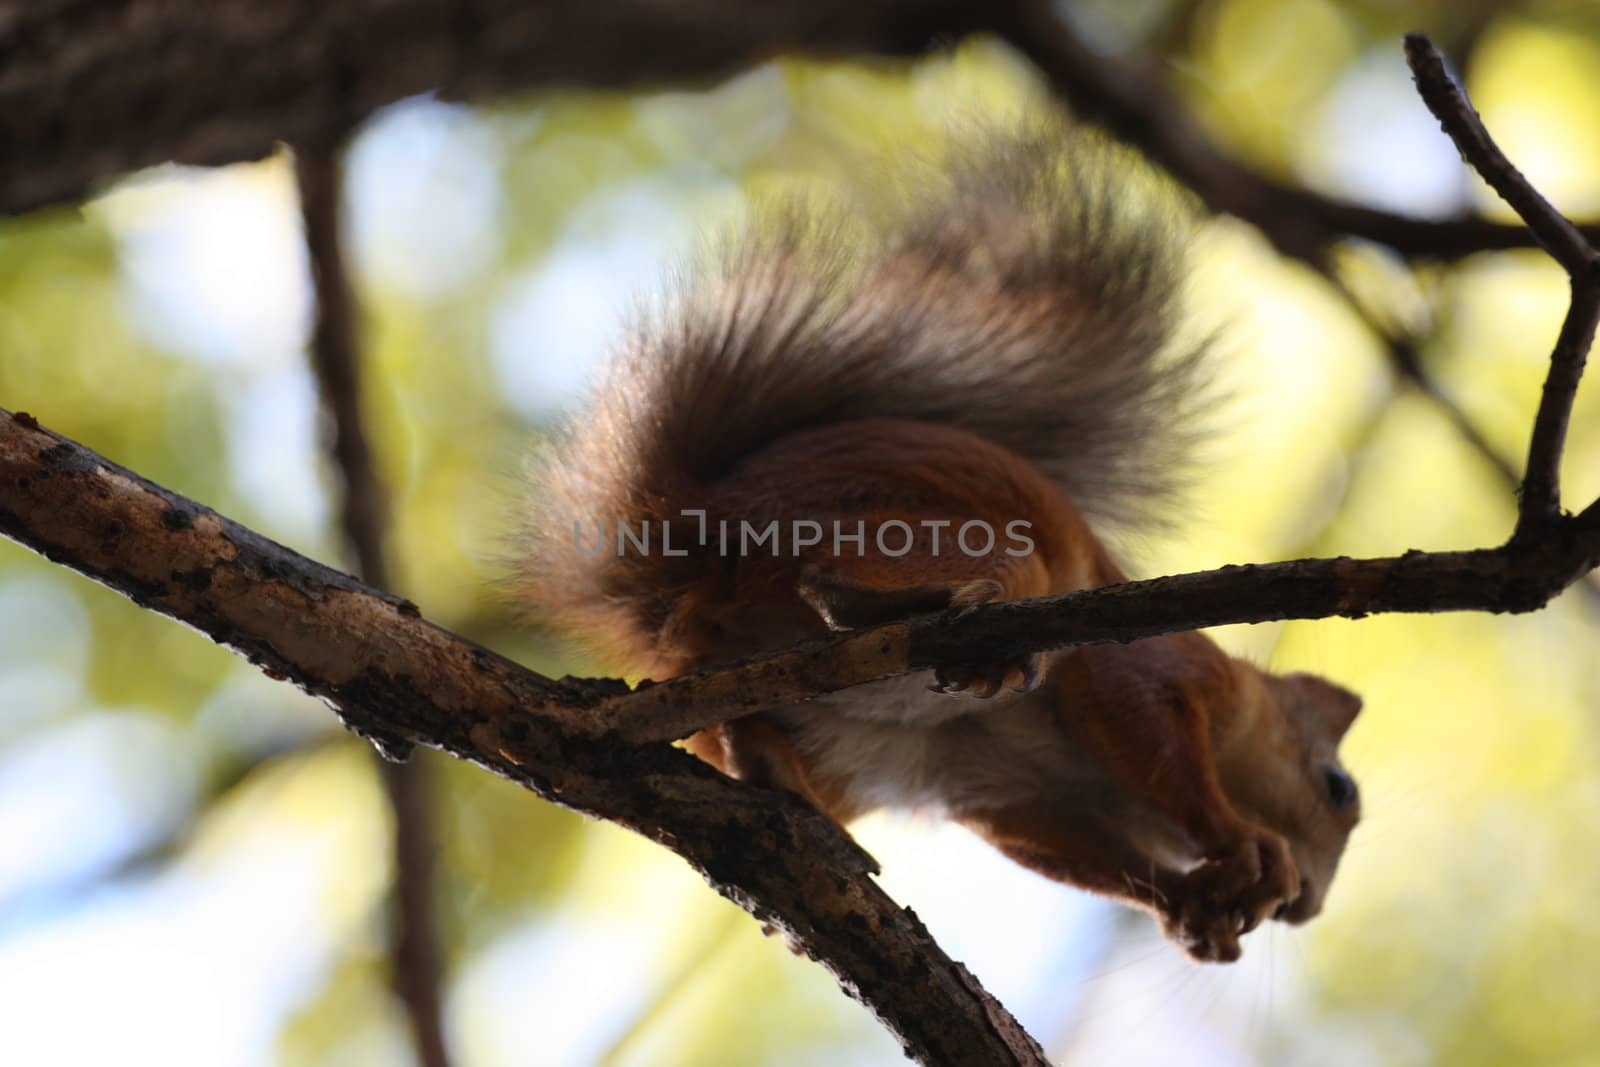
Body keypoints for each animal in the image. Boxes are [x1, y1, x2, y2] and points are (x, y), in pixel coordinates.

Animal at [515, 120, 1363, 966]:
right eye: (1338, 788)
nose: (1311, 907)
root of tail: (697, 538)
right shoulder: (1154, 670)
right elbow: (1149, 728)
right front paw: (1245, 843)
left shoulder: (1020, 793)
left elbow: (1076, 847)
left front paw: (1196, 903)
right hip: (949, 541)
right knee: (844, 581)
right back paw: (911, 612)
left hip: (818, 736)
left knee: (743, 713)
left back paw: (776, 773)